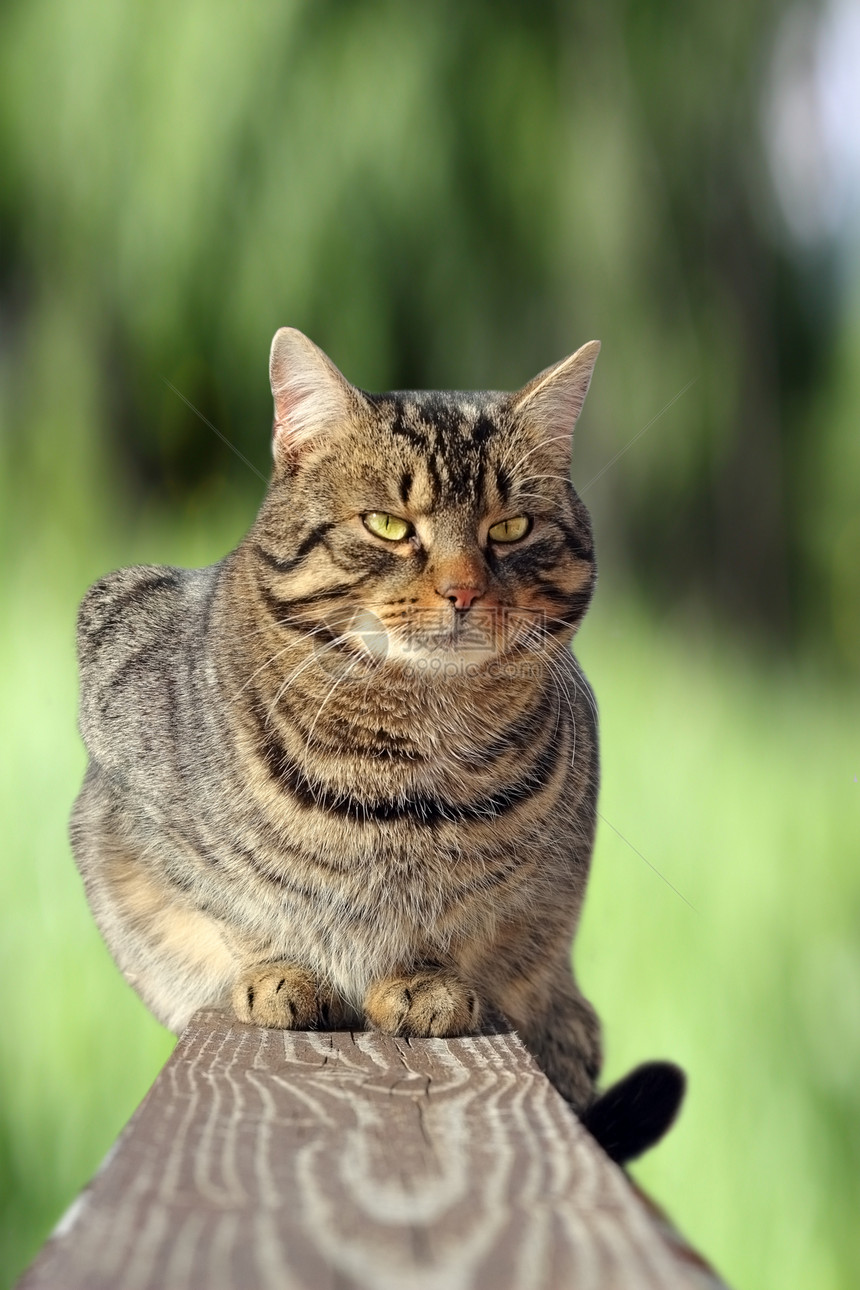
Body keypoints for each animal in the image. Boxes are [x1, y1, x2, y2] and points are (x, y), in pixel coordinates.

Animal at [70, 327, 680, 1166]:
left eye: (509, 529)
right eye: (389, 526)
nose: (462, 591)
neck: (411, 746)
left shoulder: (530, 888)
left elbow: (468, 923)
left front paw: (426, 982)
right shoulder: (125, 761)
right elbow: (235, 904)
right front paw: (279, 972)